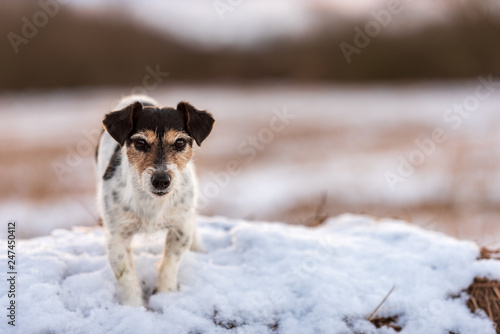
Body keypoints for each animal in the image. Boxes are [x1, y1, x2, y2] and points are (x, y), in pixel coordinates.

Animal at [96, 95, 215, 306]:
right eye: (140, 143)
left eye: (180, 142)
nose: (161, 180)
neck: (152, 201)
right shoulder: (116, 236)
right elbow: (125, 274)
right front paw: (133, 307)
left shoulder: (180, 229)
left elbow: (170, 262)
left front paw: (166, 294)